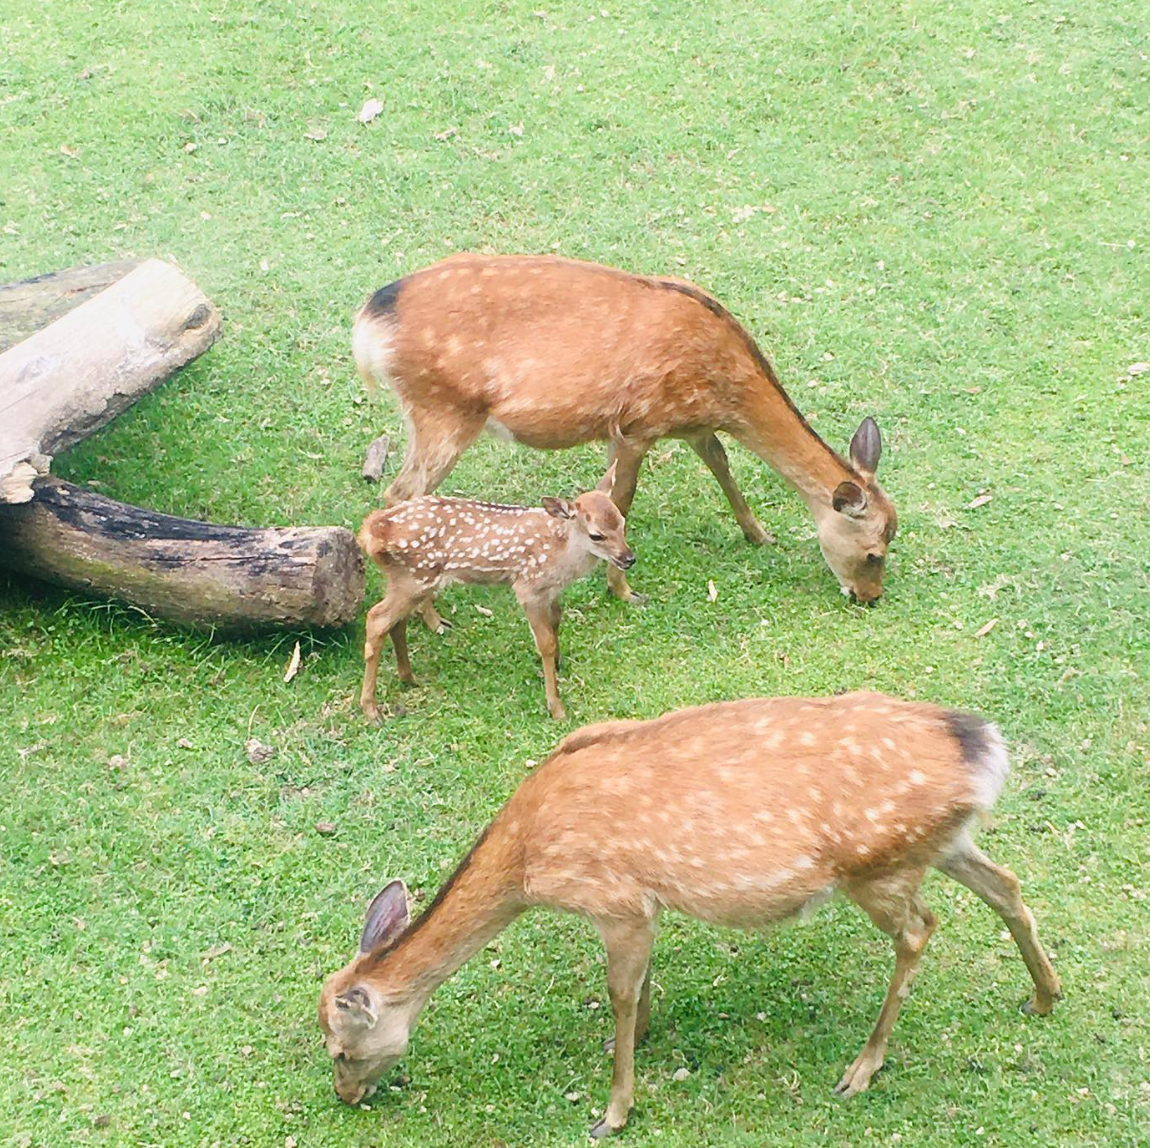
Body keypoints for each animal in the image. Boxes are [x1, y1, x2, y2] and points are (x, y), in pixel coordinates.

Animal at [315, 694, 1058, 1136]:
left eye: (341, 1049)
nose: (345, 1097)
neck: (528, 859)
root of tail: (982, 749)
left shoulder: (614, 900)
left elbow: (619, 992)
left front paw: (613, 1111)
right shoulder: (644, 904)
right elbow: (640, 987)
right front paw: (639, 1042)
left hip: (878, 867)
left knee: (921, 930)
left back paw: (862, 1069)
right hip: (939, 844)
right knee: (1006, 884)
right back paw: (1044, 996)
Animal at [354, 251, 892, 611]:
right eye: (874, 553)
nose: (869, 597)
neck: (724, 385)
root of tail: (367, 324)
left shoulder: (691, 424)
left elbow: (721, 464)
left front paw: (760, 534)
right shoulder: (637, 424)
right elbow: (622, 500)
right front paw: (625, 591)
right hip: (443, 409)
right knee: (400, 493)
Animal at [354, 462, 634, 722]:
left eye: (622, 522)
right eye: (596, 535)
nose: (629, 558)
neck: (561, 551)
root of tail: (371, 531)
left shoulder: (551, 591)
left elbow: (556, 622)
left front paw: (557, 665)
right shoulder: (528, 587)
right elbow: (545, 642)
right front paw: (556, 706)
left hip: (410, 580)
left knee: (396, 623)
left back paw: (409, 678)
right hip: (415, 577)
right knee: (377, 619)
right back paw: (371, 709)